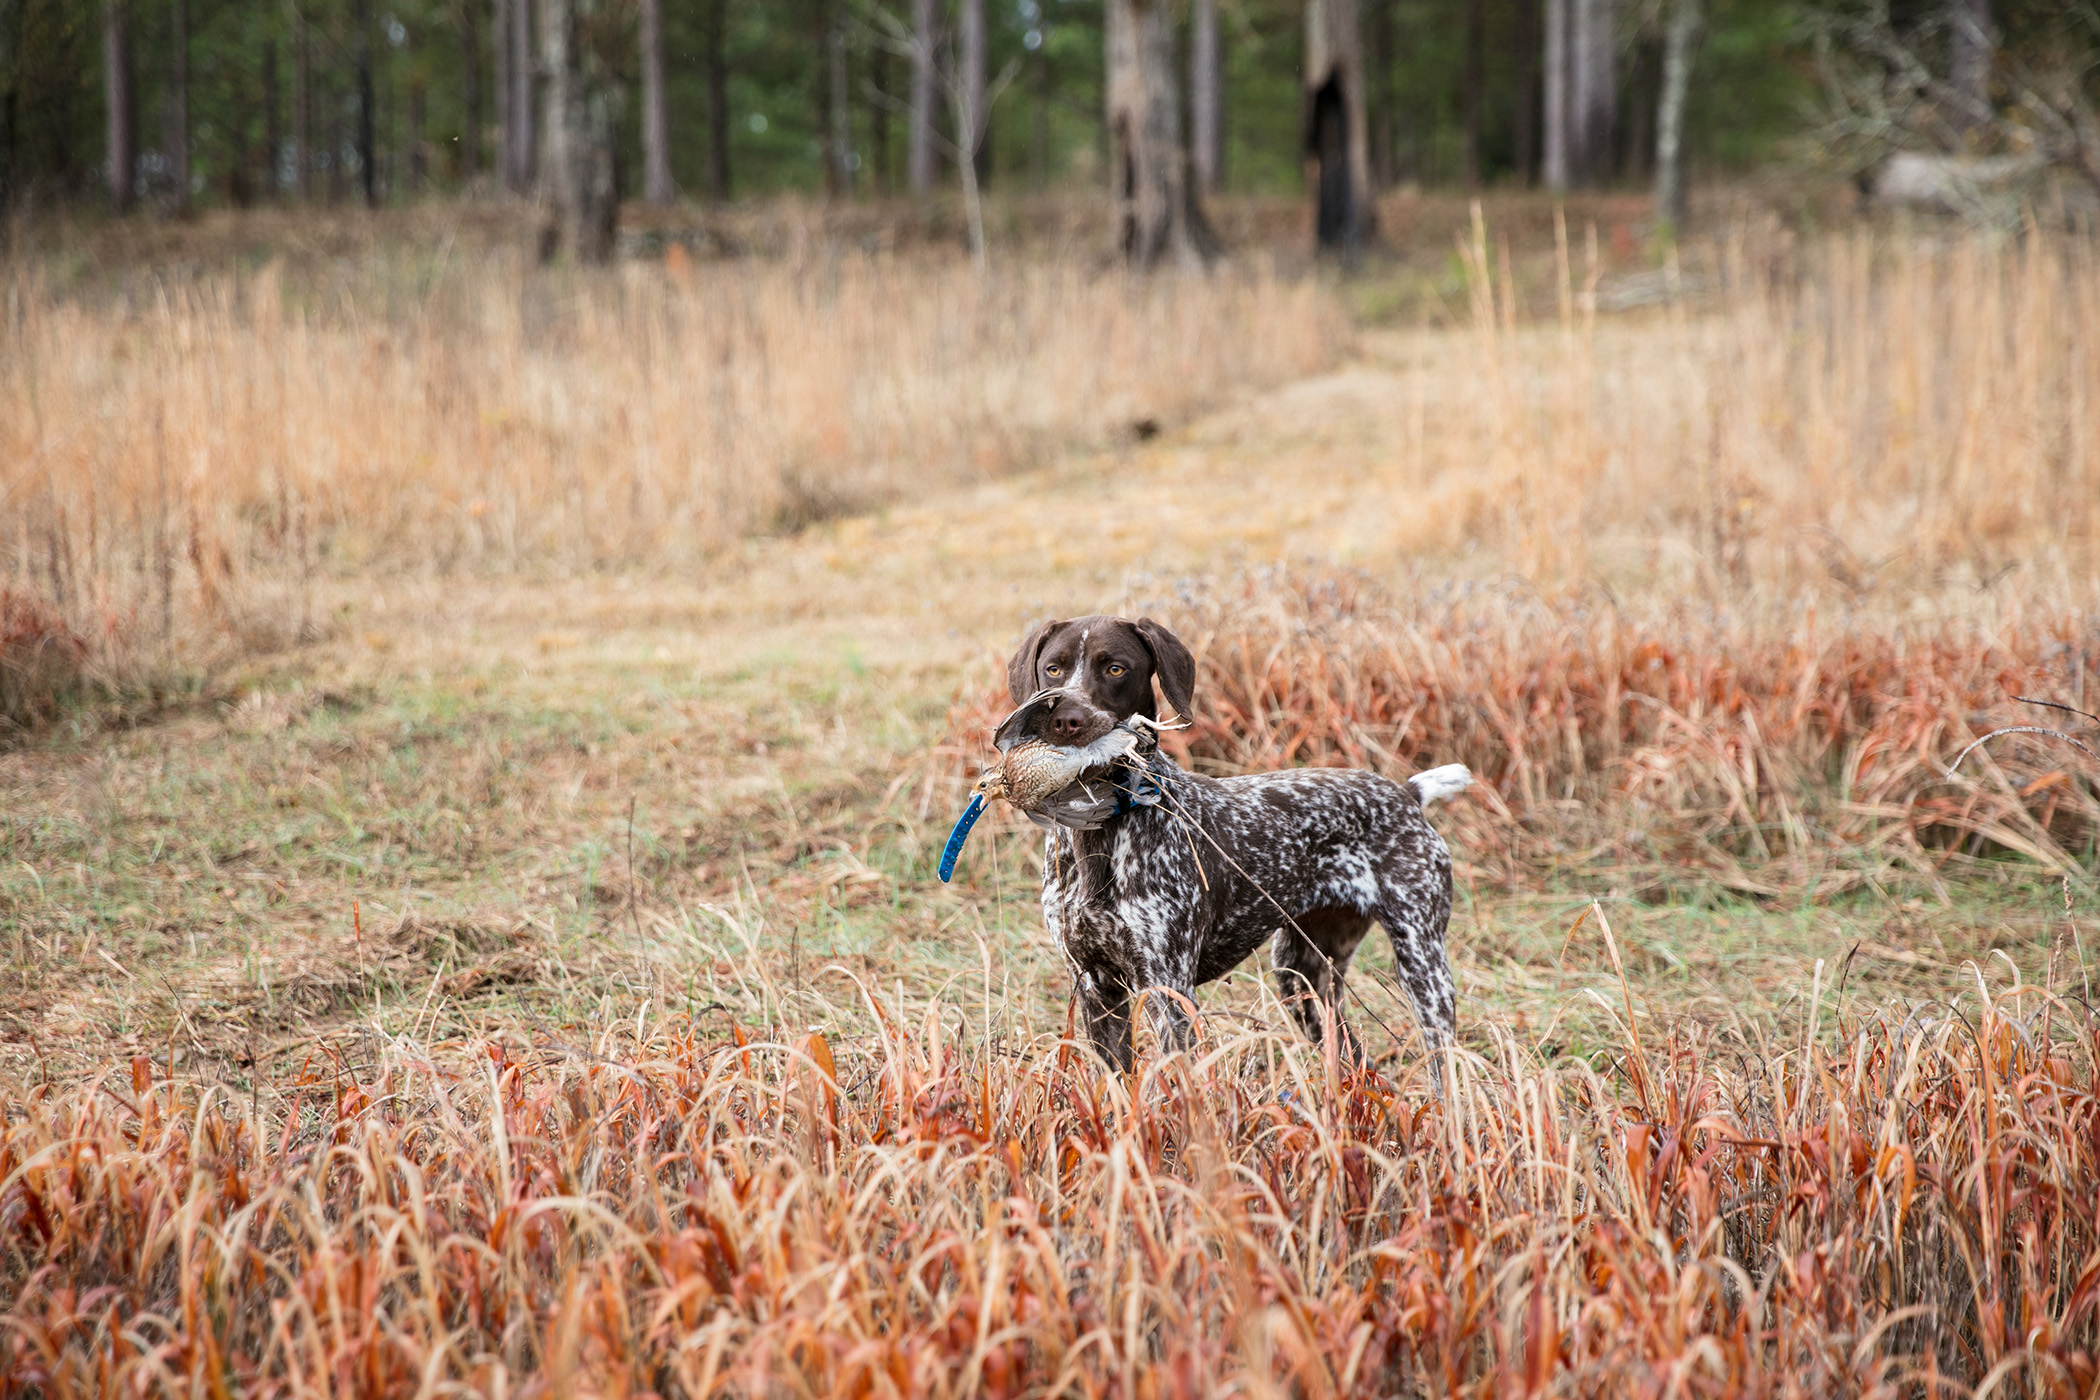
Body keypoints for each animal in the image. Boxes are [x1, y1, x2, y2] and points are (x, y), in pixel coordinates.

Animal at [1003, 617, 1469, 1074]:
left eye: (1115, 668)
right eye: (1054, 668)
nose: (1067, 719)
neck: (1098, 834)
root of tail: (1405, 793)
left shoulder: (1168, 989)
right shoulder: (1095, 989)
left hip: (1423, 969)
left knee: (1442, 1065)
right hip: (1303, 978)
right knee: (1353, 1059)